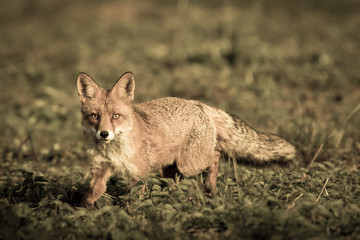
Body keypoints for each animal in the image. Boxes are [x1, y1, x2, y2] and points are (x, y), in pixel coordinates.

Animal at [77, 71, 300, 206]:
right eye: (94, 116)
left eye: (116, 116)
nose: (104, 134)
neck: (114, 150)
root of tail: (198, 103)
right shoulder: (101, 167)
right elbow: (92, 193)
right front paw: (84, 213)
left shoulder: (138, 173)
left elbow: (135, 198)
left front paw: (132, 215)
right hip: (171, 169)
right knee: (176, 182)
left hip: (189, 164)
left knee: (216, 155)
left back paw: (210, 188)